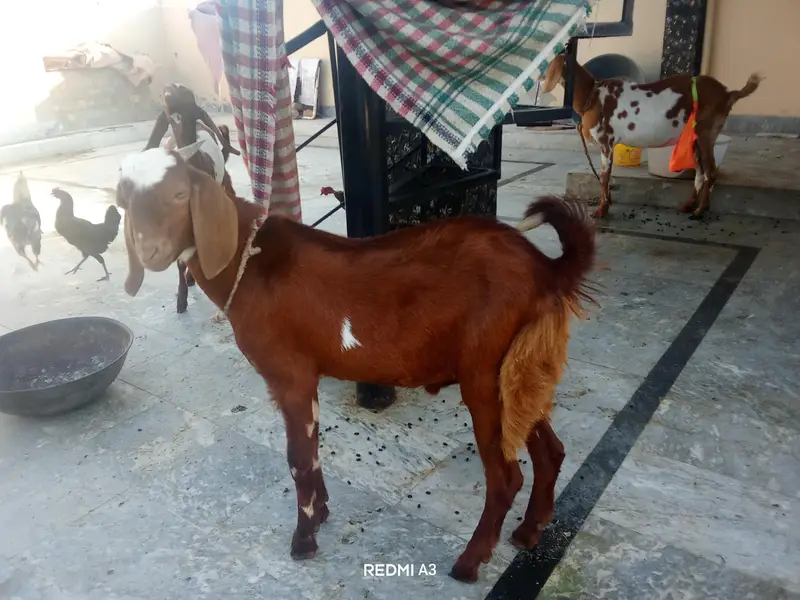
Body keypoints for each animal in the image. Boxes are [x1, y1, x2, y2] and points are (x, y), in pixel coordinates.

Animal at [115, 144, 596, 583]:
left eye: (180, 194)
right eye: (124, 201)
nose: (150, 251)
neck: (248, 259)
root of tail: (545, 269)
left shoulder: (290, 375)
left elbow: (298, 459)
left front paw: (304, 540)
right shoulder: (307, 377)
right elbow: (313, 451)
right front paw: (323, 512)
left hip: (484, 373)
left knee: (505, 477)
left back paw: (469, 562)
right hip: (519, 371)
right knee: (551, 451)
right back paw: (528, 532)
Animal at [541, 54, 763, 219]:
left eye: (550, 65)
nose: (541, 79)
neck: (592, 95)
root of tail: (728, 93)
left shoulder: (607, 142)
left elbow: (604, 177)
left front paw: (602, 210)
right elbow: (608, 176)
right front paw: (607, 203)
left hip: (706, 132)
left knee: (711, 172)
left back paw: (699, 212)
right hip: (696, 138)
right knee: (700, 173)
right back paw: (689, 206)